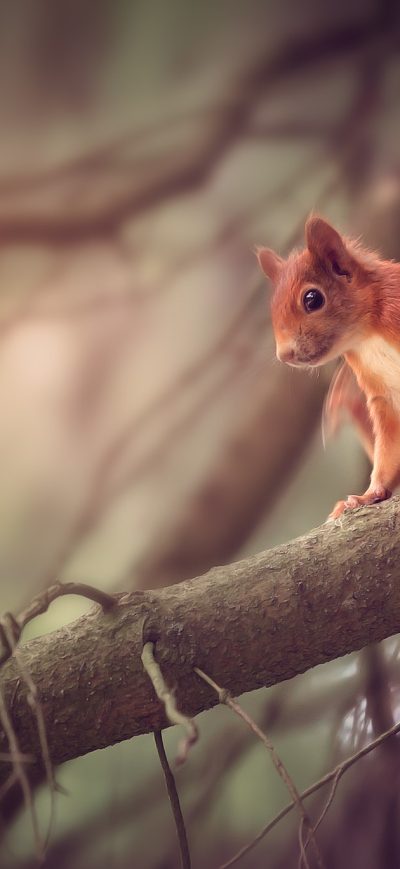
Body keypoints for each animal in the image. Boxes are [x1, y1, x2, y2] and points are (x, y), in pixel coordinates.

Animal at [256, 215, 400, 520]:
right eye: (272, 307)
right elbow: (390, 445)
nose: (284, 354)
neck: (368, 333)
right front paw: (369, 494)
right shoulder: (385, 394)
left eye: (312, 299)